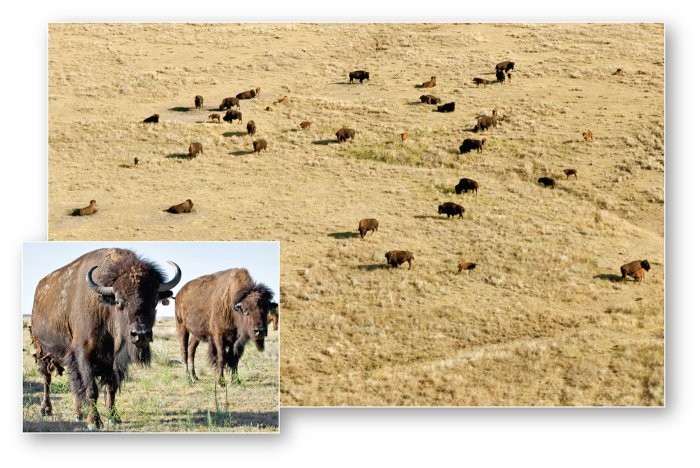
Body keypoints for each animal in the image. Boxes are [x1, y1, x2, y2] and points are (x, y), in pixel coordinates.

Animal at [30, 248, 181, 429]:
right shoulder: (84, 355)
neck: (105, 308)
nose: (140, 334)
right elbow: (91, 389)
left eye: (154, 300)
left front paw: (114, 418)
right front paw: (94, 422)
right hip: (42, 352)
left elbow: (111, 388)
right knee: (47, 379)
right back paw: (45, 409)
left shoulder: (112, 361)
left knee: (73, 383)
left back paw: (78, 414)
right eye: (119, 301)